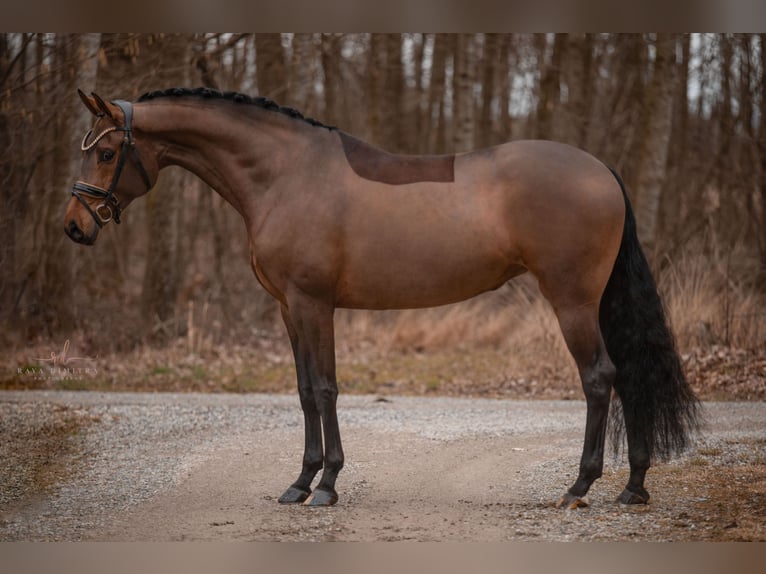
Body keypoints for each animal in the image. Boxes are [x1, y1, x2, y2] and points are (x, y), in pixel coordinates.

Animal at [66, 85, 704, 508]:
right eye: (87, 148)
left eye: (106, 152)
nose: (74, 226)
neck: (285, 175)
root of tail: (602, 171)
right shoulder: (288, 309)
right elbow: (304, 391)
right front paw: (299, 482)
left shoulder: (312, 304)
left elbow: (325, 389)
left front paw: (326, 486)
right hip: (596, 303)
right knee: (631, 376)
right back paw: (634, 487)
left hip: (571, 301)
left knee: (600, 378)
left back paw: (579, 487)